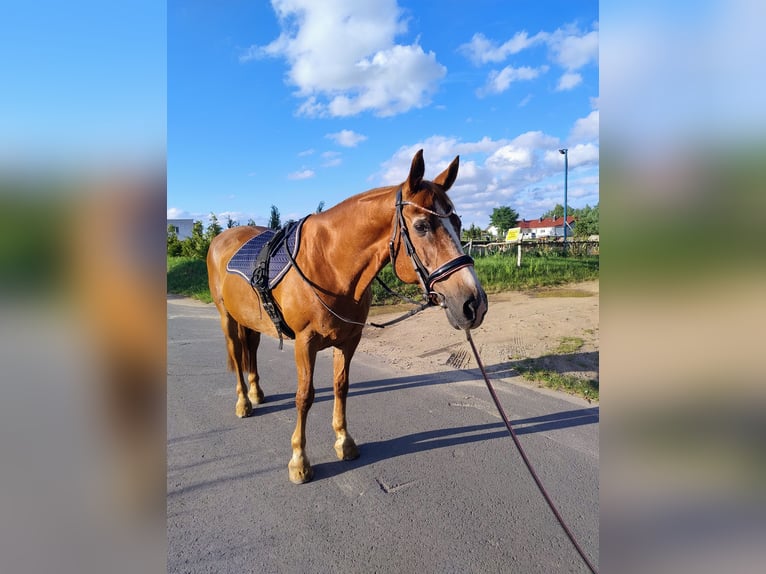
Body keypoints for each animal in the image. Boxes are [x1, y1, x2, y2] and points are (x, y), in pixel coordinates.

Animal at [207, 151, 488, 484]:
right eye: (422, 226)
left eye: (457, 222)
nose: (473, 304)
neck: (329, 265)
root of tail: (221, 239)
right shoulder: (304, 343)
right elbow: (304, 396)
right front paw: (299, 460)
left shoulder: (349, 340)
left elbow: (341, 386)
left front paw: (344, 441)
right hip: (227, 319)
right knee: (237, 355)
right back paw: (243, 402)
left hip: (251, 321)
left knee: (250, 350)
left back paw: (256, 392)